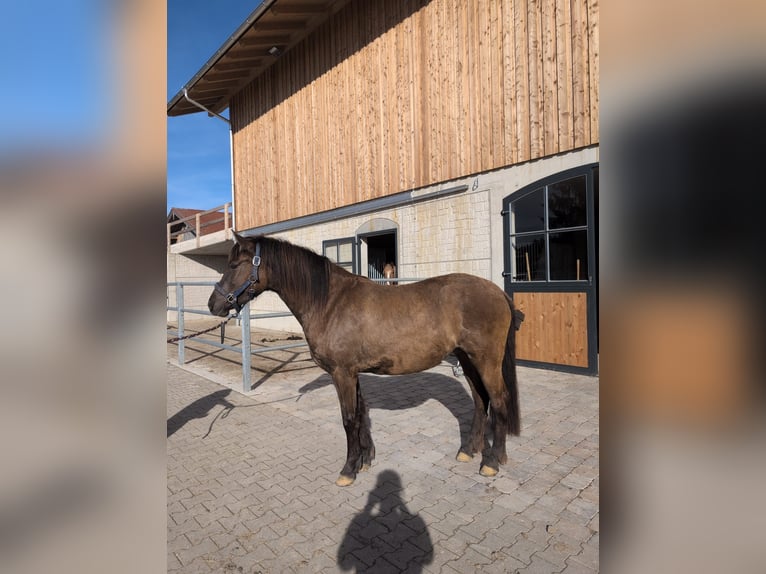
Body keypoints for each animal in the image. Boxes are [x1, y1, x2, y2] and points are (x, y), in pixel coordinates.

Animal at [208, 233, 523, 486]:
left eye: (234, 265)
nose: (214, 304)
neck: (330, 302)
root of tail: (497, 292)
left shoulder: (342, 373)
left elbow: (348, 418)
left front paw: (348, 470)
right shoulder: (352, 373)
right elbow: (360, 414)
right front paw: (365, 459)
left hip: (486, 360)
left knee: (499, 400)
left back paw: (492, 462)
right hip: (467, 359)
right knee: (481, 400)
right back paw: (469, 451)